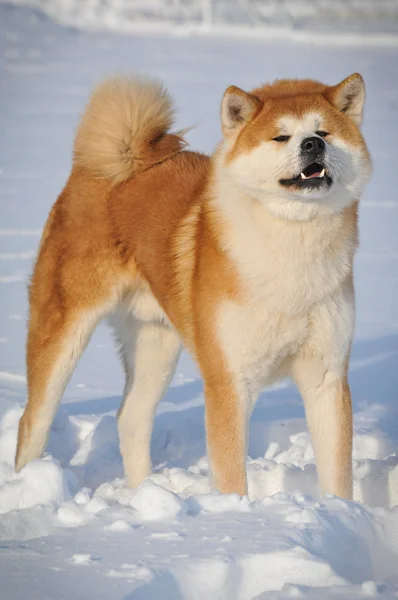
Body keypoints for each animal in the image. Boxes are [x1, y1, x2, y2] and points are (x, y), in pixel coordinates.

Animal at [14, 72, 370, 500]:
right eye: (280, 137)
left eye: (324, 132)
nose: (312, 144)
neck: (293, 244)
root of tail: (104, 165)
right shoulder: (228, 380)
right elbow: (232, 476)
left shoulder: (326, 377)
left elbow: (338, 476)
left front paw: (342, 510)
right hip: (64, 331)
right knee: (32, 422)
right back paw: (28, 485)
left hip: (155, 345)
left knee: (131, 419)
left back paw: (145, 494)